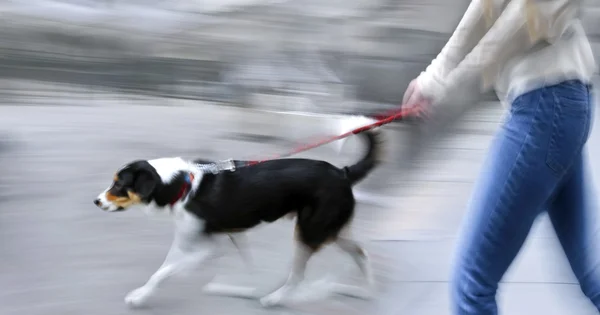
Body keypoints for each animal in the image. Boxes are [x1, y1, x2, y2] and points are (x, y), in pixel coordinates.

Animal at [94, 116, 384, 308]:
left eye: (119, 184)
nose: (96, 201)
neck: (182, 184)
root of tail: (342, 172)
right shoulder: (220, 236)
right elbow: (169, 267)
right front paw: (240, 289)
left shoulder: (210, 247)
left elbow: (164, 272)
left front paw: (140, 297)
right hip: (331, 231)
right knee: (362, 254)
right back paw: (366, 293)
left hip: (309, 233)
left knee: (299, 276)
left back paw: (276, 298)